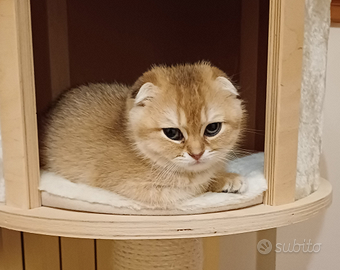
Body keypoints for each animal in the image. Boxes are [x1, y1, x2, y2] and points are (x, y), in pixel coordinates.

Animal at [40, 62, 244, 208]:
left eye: (212, 128)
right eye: (172, 133)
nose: (197, 154)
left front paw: (223, 177)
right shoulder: (149, 191)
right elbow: (197, 187)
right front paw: (221, 179)